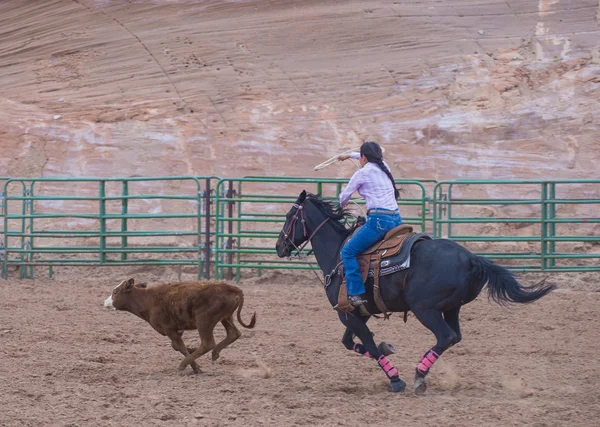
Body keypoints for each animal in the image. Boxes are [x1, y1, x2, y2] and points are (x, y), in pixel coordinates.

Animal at [104, 280, 254, 372]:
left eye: (115, 292)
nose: (105, 302)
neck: (148, 300)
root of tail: (233, 289)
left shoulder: (169, 329)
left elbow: (180, 346)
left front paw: (195, 367)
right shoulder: (177, 329)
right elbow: (177, 346)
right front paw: (191, 352)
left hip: (204, 321)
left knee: (208, 343)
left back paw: (184, 364)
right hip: (226, 317)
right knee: (234, 333)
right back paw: (215, 353)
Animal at [274, 192, 556, 396]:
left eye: (289, 215)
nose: (279, 246)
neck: (337, 254)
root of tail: (471, 258)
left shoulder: (350, 315)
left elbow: (368, 345)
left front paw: (395, 379)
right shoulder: (358, 314)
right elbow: (352, 343)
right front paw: (387, 348)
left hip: (426, 309)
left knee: (445, 336)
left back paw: (419, 375)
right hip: (451, 308)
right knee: (454, 337)